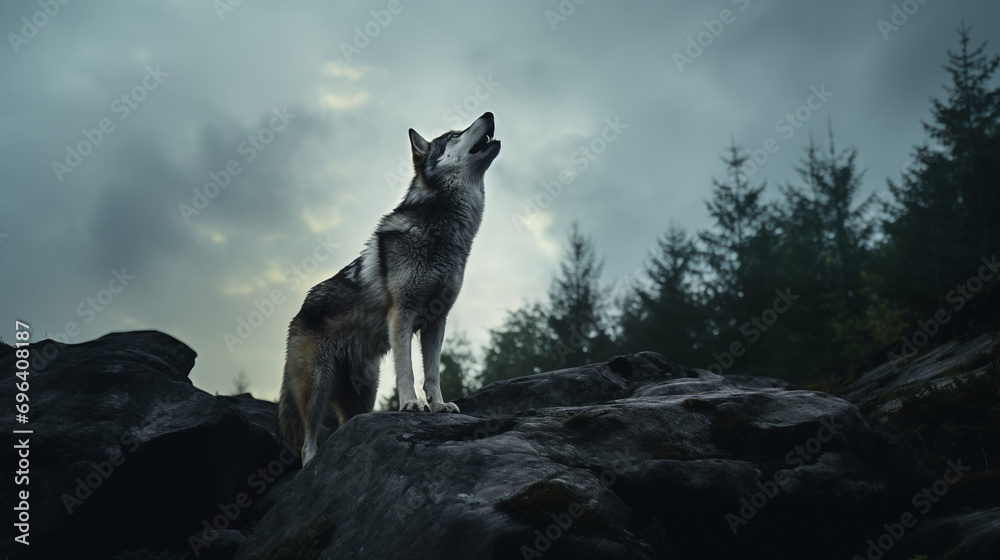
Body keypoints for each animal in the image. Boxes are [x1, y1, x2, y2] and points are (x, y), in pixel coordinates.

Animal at [277, 112, 500, 465]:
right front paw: (411, 405)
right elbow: (407, 369)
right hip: (317, 386)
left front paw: (438, 406)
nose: (489, 114)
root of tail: (298, 313)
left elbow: (433, 373)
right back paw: (312, 463)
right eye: (453, 135)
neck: (444, 234)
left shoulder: (437, 321)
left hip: (364, 392)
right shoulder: (402, 315)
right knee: (307, 438)